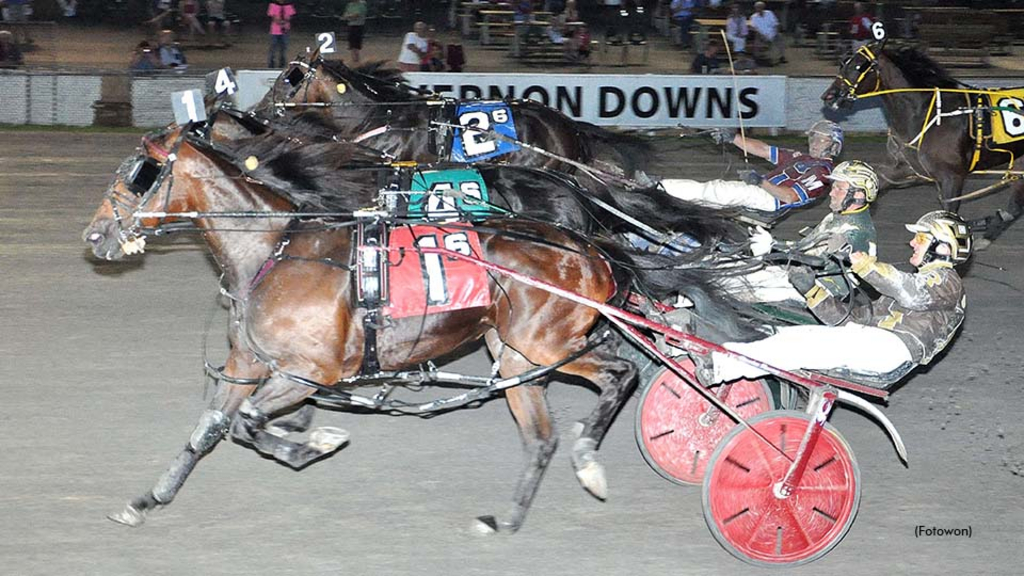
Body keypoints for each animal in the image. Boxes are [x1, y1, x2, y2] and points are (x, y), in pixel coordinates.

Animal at [83, 123, 733, 532]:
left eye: (140, 173)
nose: (95, 235)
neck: (277, 248)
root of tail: (592, 247)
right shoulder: (248, 364)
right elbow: (210, 428)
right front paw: (148, 500)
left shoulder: (308, 371)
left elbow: (247, 424)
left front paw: (312, 441)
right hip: (518, 356)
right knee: (542, 435)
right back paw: (510, 518)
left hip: (543, 344)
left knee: (620, 373)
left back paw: (590, 461)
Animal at [819, 42, 1024, 239]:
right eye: (844, 63)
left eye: (859, 66)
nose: (829, 95)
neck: (926, 114)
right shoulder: (905, 168)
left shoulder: (952, 178)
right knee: (1015, 207)